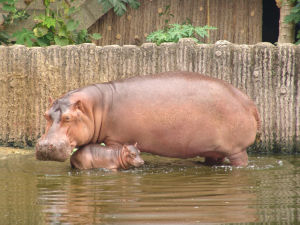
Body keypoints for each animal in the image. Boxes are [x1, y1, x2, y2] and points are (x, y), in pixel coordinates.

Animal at [35, 71, 260, 166]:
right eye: (46, 114)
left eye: (68, 117)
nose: (45, 146)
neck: (95, 107)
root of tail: (249, 101)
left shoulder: (116, 140)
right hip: (214, 150)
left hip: (237, 150)